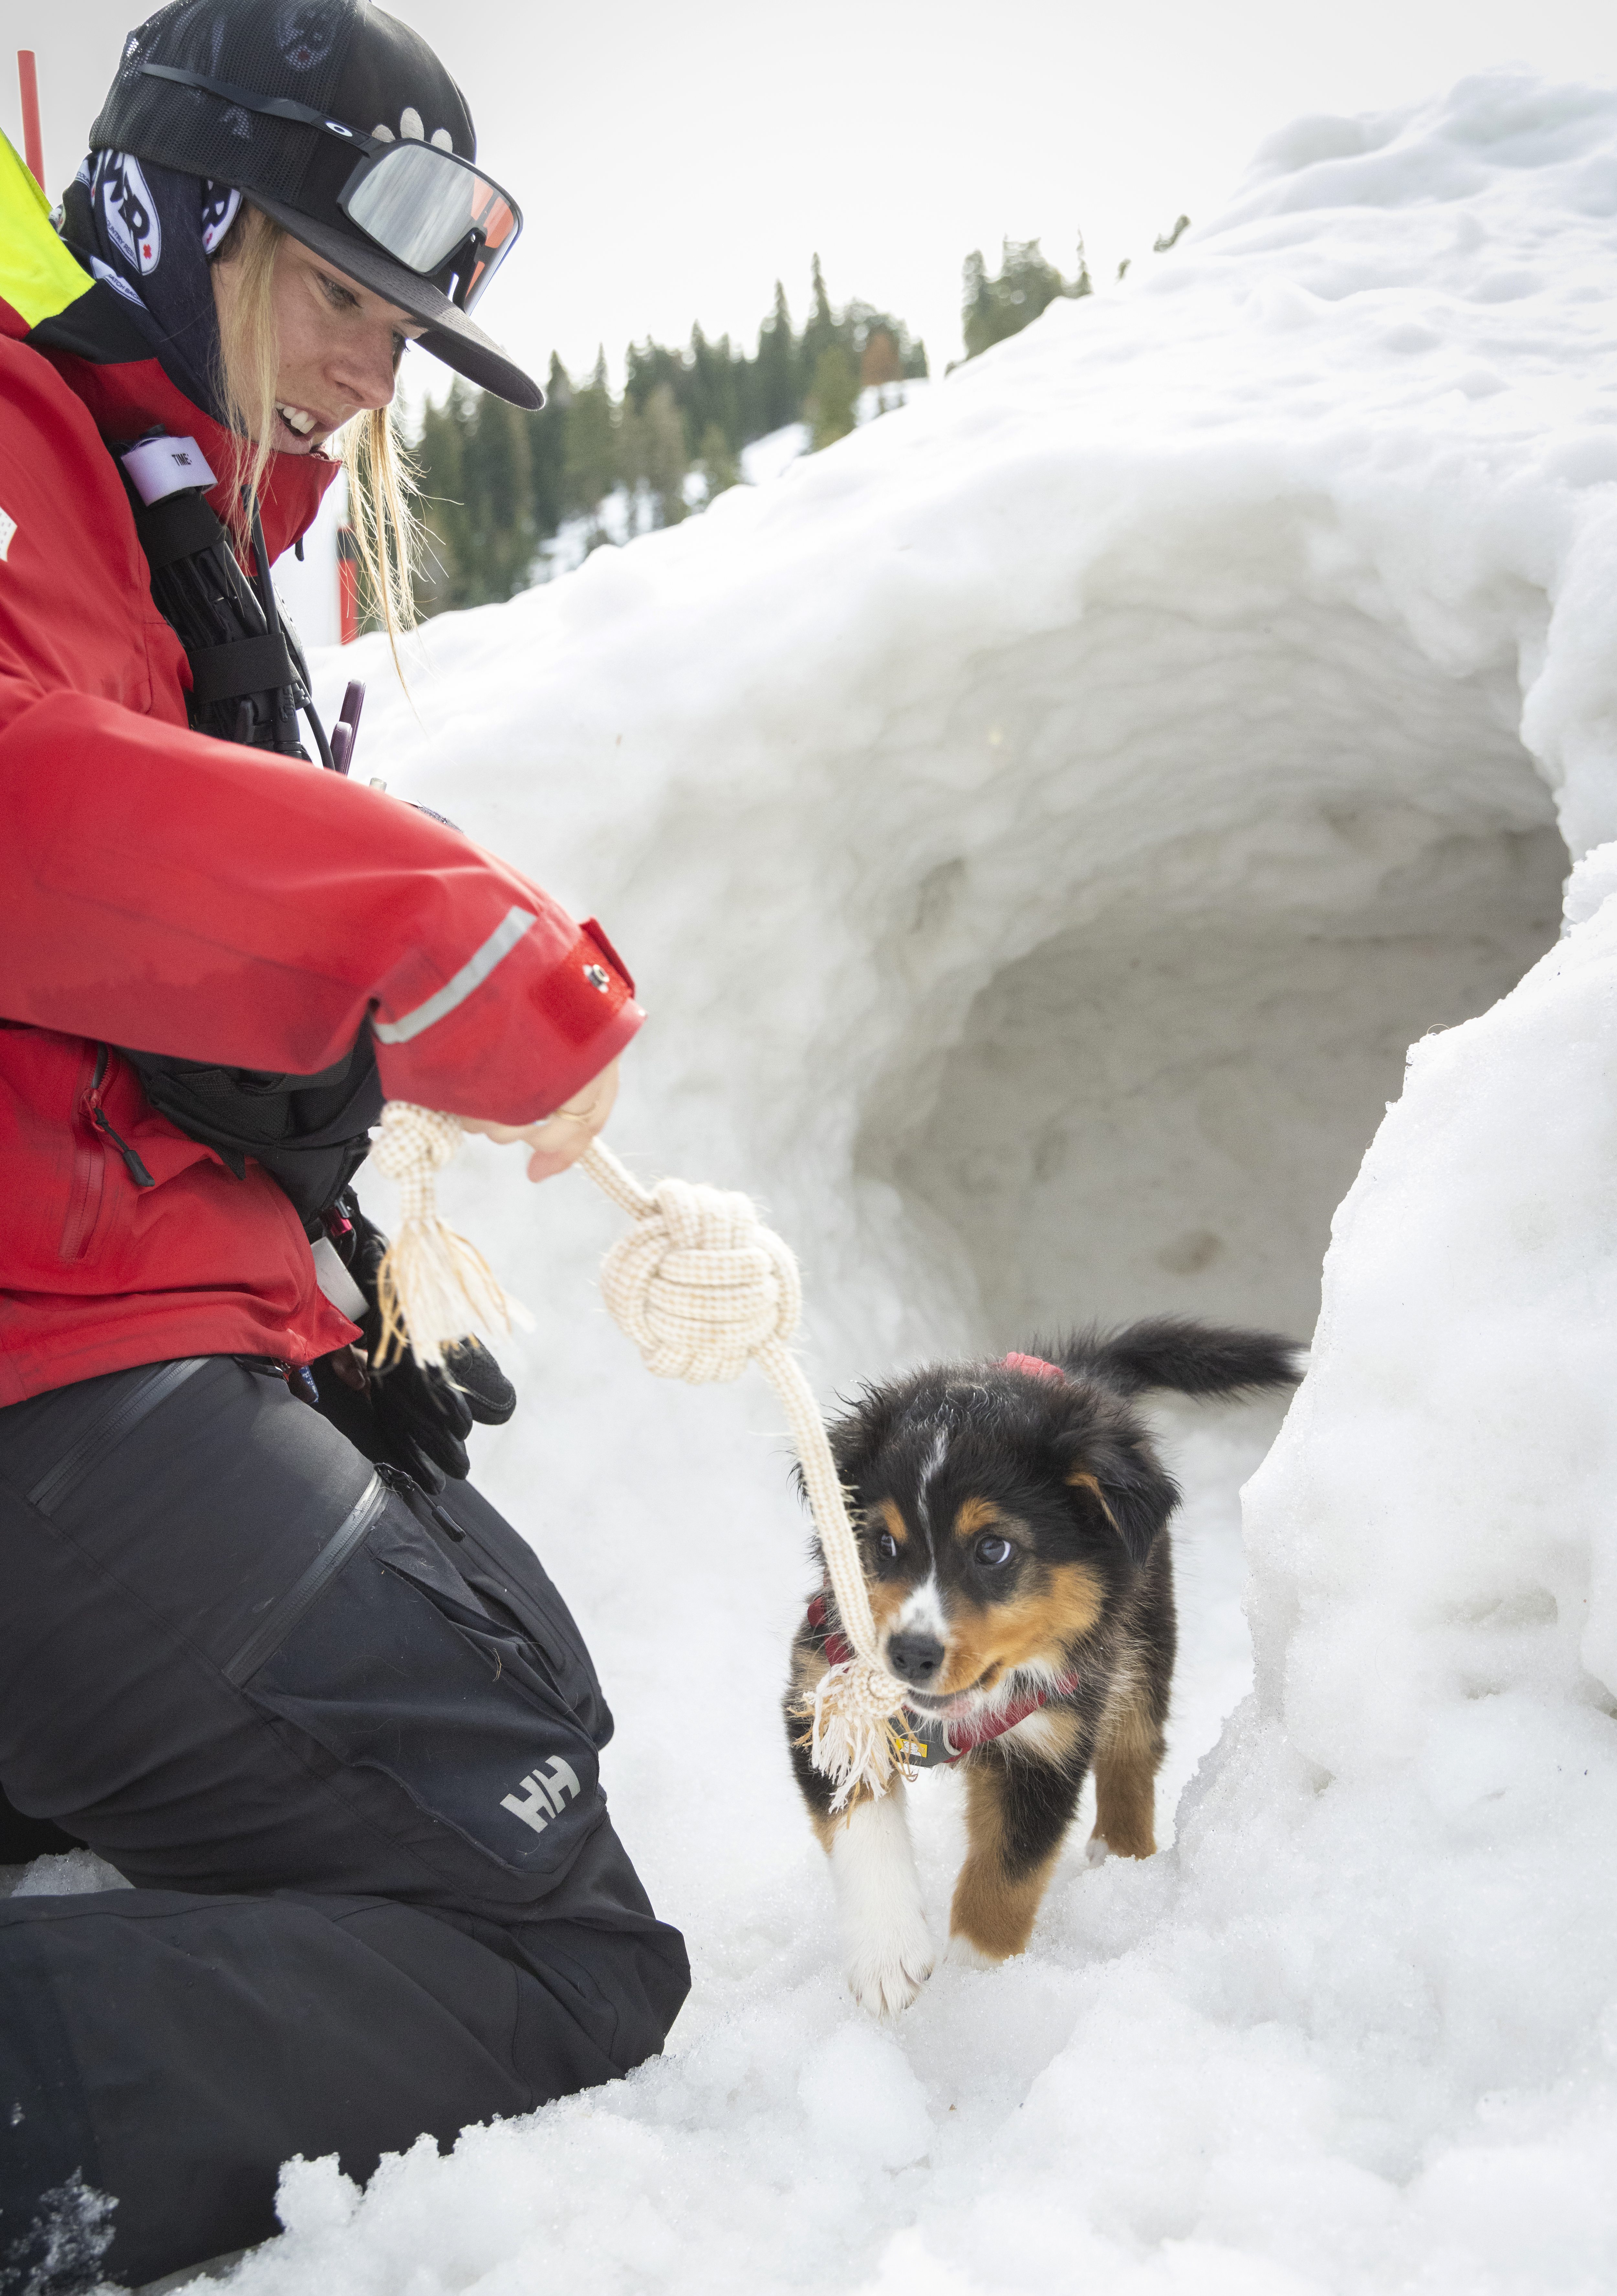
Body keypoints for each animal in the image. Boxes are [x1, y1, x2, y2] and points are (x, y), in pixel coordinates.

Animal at [781, 1322, 1305, 2020]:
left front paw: (976, 1986)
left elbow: (1006, 1878)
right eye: (883, 1544)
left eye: (993, 1549)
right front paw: (887, 1959)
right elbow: (861, 1824)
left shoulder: (1047, 1747)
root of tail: (1080, 1374)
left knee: (1135, 1743)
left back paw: (1123, 1857)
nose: (909, 1655)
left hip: (1141, 1629)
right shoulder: (821, 1691)